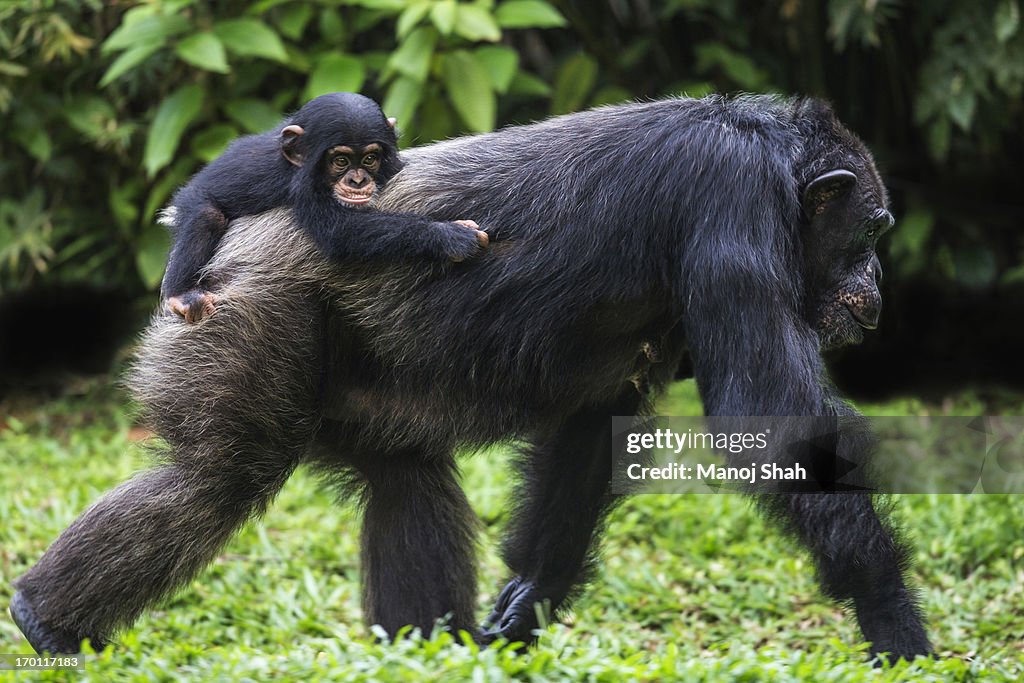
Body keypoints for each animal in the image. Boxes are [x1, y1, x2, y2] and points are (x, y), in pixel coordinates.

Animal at [160, 91, 487, 323]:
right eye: (340, 160)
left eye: (370, 158)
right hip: (192, 199)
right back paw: (183, 295)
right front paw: (449, 235)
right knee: (206, 216)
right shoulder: (304, 186)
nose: (358, 180)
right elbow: (338, 231)